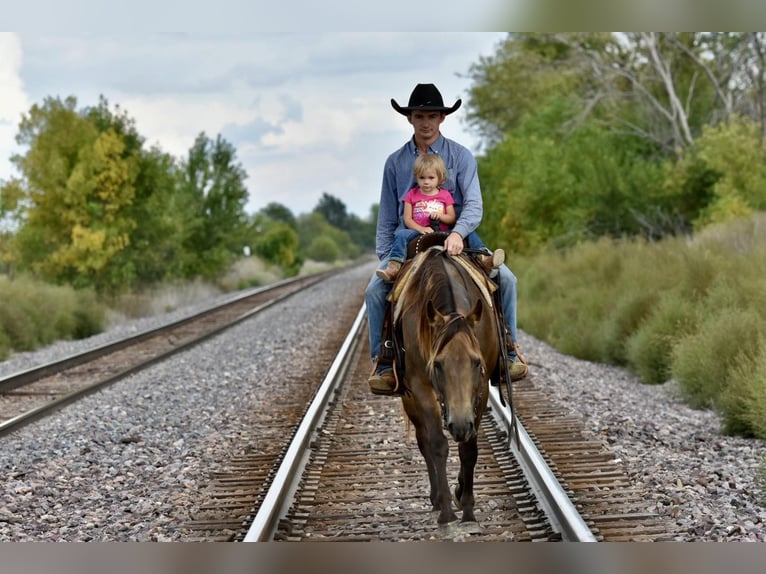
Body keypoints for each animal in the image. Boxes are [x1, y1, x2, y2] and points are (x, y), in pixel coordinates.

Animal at [390, 248, 504, 528]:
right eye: (438, 364)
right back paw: (434, 499)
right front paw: (446, 510)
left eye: (476, 362)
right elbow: (437, 445)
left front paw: (466, 504)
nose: (460, 424)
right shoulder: (420, 387)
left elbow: (469, 449)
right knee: (424, 441)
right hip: (410, 400)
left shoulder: (481, 390)